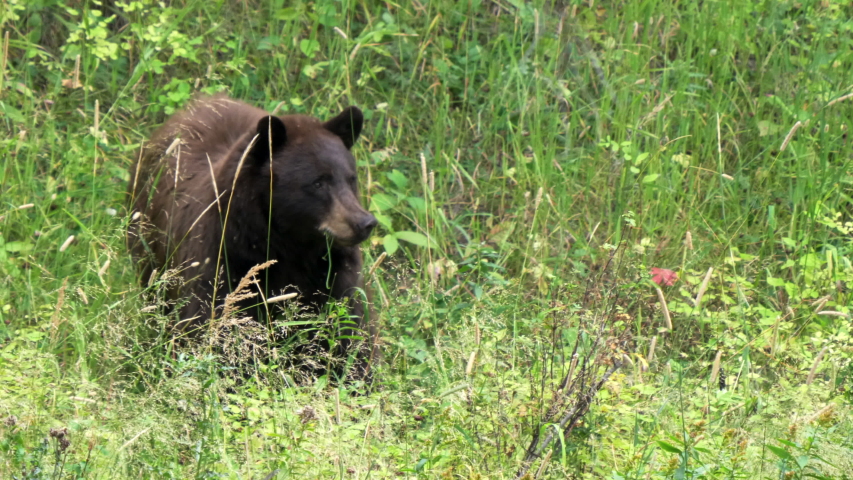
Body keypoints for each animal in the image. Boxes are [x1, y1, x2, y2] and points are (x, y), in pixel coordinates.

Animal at [125, 93, 376, 372]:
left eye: (351, 179)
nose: (364, 222)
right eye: (318, 182)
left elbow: (348, 327)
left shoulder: (334, 272)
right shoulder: (223, 259)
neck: (290, 246)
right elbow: (212, 324)